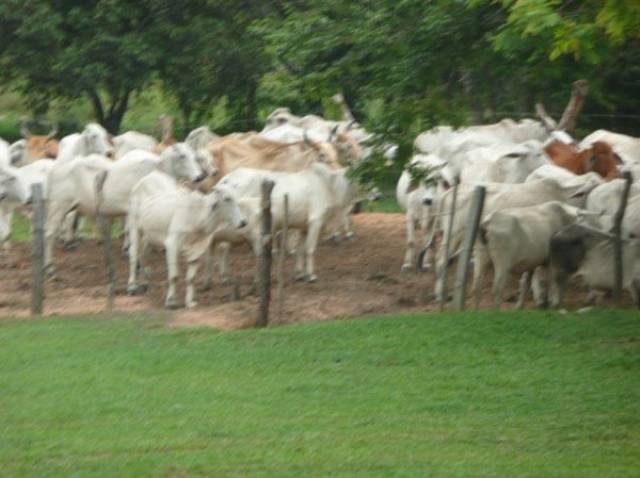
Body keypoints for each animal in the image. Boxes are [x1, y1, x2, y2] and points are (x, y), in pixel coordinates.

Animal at [127, 172, 245, 310]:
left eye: (237, 196)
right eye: (227, 198)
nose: (243, 222)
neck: (197, 216)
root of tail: (148, 177)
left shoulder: (196, 250)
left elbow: (191, 278)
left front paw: (190, 302)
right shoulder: (172, 244)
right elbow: (174, 276)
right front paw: (171, 301)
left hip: (148, 235)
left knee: (143, 255)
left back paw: (144, 283)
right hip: (134, 228)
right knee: (133, 255)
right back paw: (132, 286)